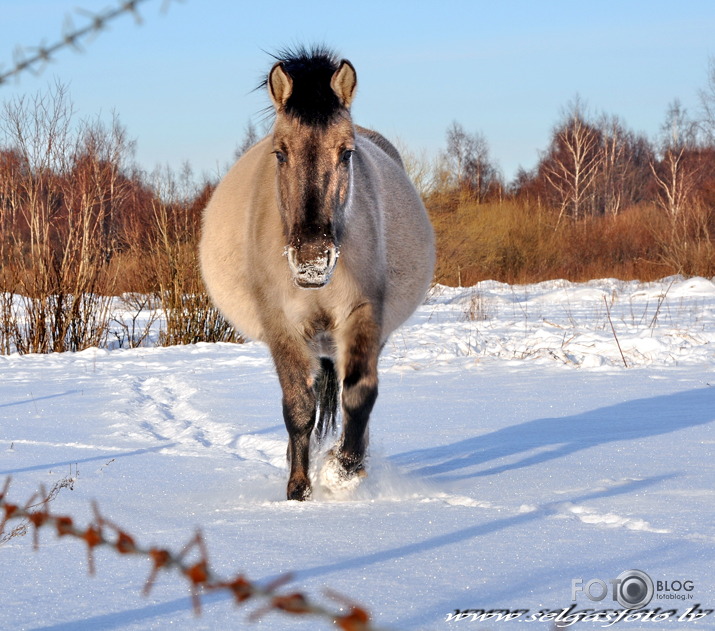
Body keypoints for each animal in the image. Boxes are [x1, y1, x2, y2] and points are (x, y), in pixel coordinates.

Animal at [200, 47, 436, 502]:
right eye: (280, 153)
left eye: (346, 153)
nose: (312, 259)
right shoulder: (281, 325)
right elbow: (298, 407)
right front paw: (299, 489)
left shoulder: (363, 315)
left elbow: (359, 395)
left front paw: (343, 471)